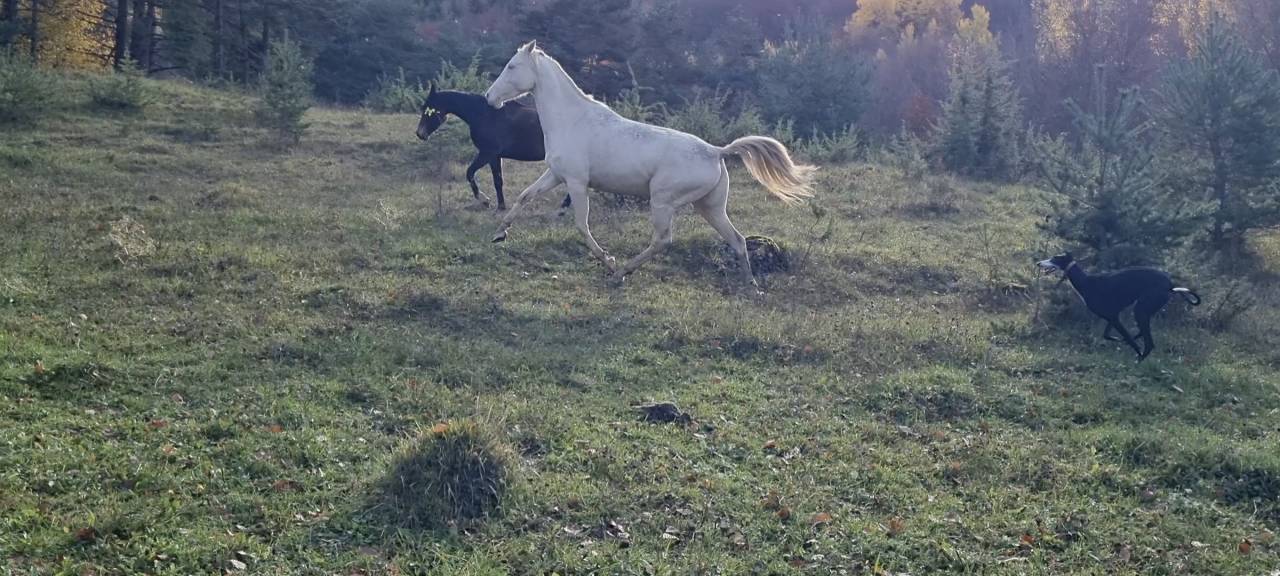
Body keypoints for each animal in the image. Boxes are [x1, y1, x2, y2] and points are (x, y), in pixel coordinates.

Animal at [416, 83, 571, 211]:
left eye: (429, 109)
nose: (420, 134)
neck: (484, 115)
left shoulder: (487, 154)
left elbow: (470, 172)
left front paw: (484, 200)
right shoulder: (495, 157)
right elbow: (498, 181)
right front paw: (501, 205)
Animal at [483, 41, 816, 287]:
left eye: (512, 66)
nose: (489, 97)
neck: (573, 120)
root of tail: (716, 151)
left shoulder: (577, 183)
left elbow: (581, 225)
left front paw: (608, 261)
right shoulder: (555, 174)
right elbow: (524, 196)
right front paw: (499, 234)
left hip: (663, 201)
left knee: (663, 240)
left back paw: (621, 272)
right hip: (710, 207)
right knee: (737, 240)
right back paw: (751, 287)